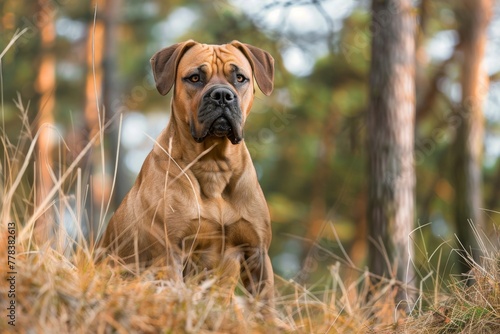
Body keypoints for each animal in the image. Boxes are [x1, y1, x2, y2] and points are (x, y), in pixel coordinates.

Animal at [99, 39, 276, 306]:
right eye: (194, 78)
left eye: (240, 78)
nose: (222, 95)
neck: (214, 165)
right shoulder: (170, 251)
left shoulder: (257, 253)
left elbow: (266, 306)